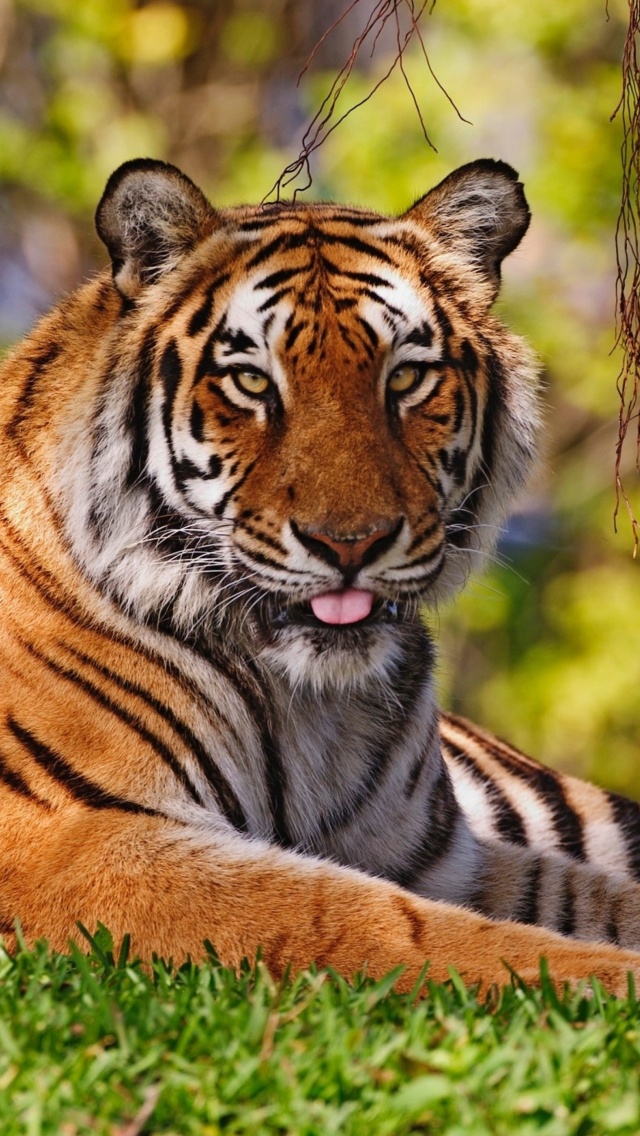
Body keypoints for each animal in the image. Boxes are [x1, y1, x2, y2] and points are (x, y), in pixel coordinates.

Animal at [1, 155, 640, 999]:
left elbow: (588, 896)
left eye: (406, 378)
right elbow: (370, 921)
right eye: (251, 382)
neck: (310, 706)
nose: (351, 542)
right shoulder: (71, 840)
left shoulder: (437, 854)